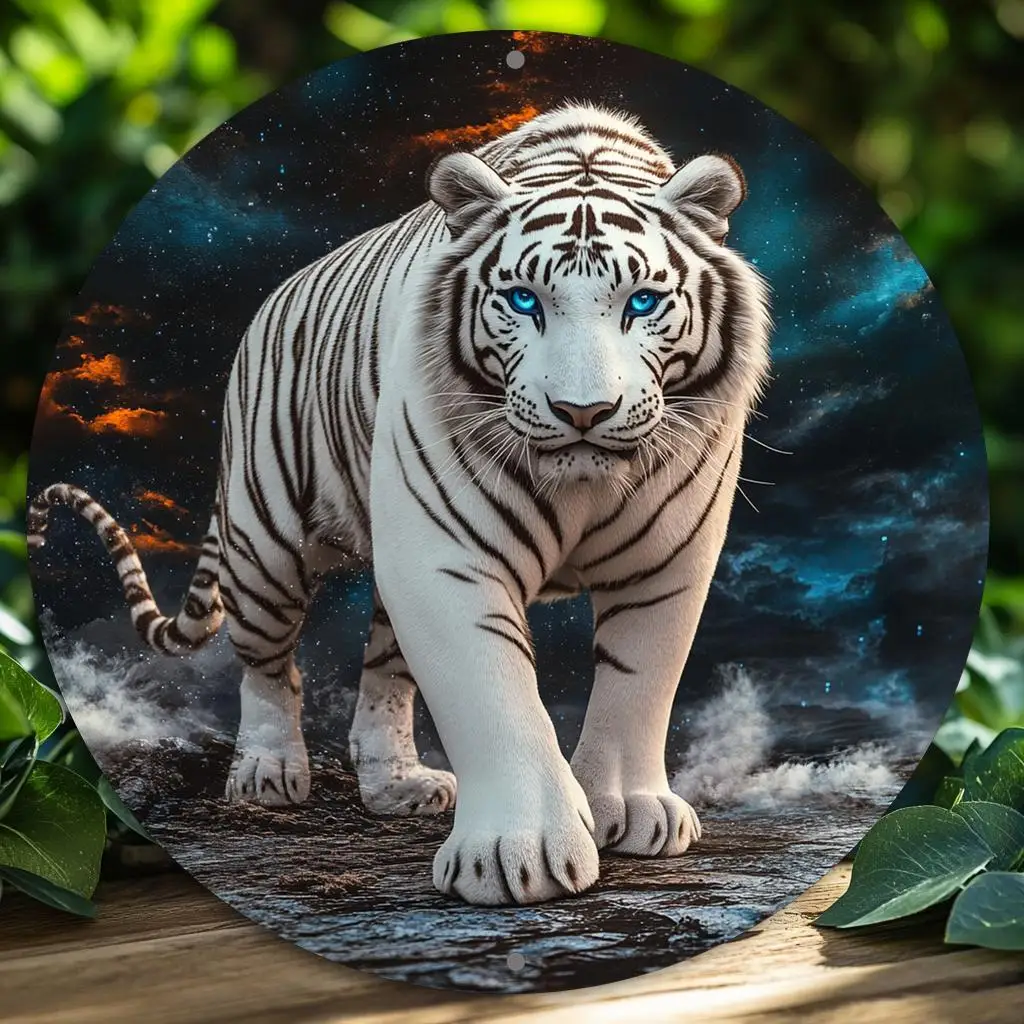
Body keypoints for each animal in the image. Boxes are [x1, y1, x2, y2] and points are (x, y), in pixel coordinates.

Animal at [29, 102, 772, 907]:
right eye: (523, 300)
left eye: (642, 301)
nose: (583, 412)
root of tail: (268, 306)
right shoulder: (449, 558)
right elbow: (493, 687)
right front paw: (517, 852)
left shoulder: (668, 558)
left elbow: (639, 684)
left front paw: (631, 811)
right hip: (265, 544)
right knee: (268, 668)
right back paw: (267, 773)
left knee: (384, 678)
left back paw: (400, 787)